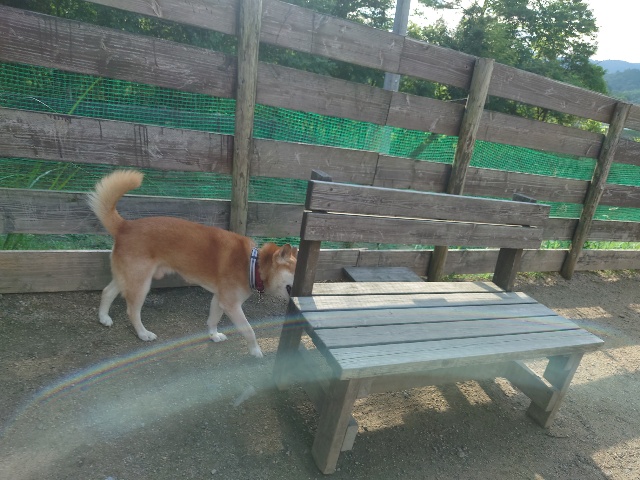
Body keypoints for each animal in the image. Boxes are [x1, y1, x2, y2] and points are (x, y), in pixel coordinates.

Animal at [88, 170, 297, 358]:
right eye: (296, 270)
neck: (253, 265)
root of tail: (125, 226)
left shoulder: (219, 299)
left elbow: (213, 320)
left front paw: (213, 336)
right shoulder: (231, 304)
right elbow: (249, 330)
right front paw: (256, 351)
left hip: (128, 278)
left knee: (107, 291)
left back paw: (104, 318)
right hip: (141, 284)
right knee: (132, 311)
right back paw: (143, 334)